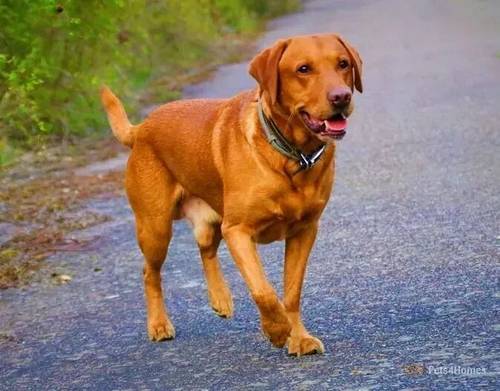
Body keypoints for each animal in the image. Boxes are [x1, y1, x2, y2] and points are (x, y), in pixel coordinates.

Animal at [100, 35, 364, 356]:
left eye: (343, 64)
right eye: (303, 69)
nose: (341, 97)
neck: (290, 156)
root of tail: (140, 129)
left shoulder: (304, 231)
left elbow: (291, 293)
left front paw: (299, 338)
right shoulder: (238, 230)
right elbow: (264, 290)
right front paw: (277, 330)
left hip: (211, 219)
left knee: (206, 249)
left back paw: (221, 297)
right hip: (156, 228)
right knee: (150, 273)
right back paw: (159, 324)